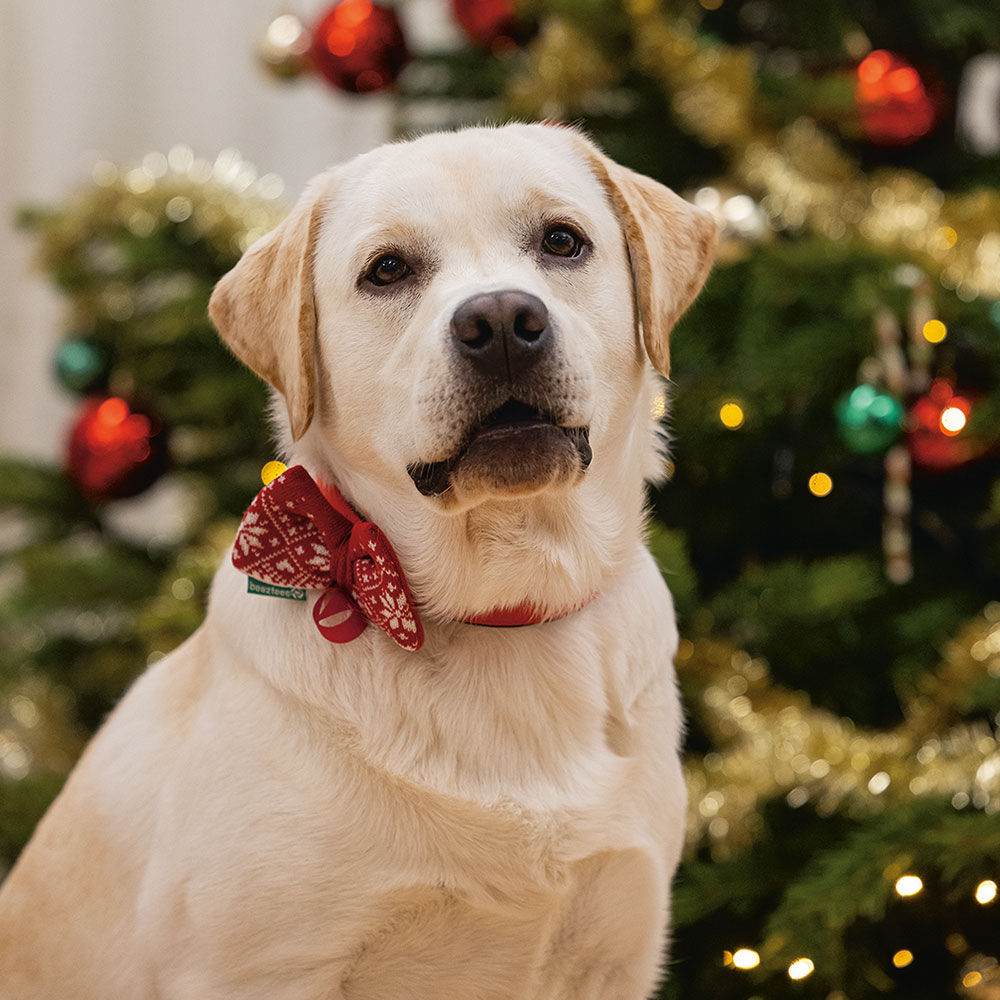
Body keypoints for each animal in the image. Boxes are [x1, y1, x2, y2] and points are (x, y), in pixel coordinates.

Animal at [0, 121, 720, 996]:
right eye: (388, 270)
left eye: (561, 241)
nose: (502, 320)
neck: (502, 608)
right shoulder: (258, 971)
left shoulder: (611, 958)